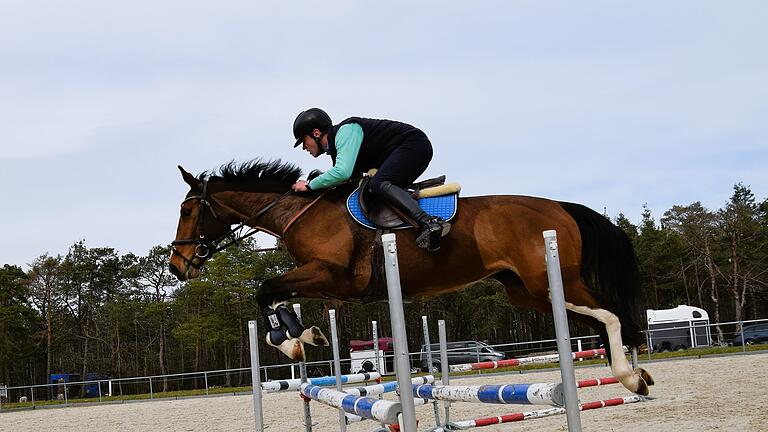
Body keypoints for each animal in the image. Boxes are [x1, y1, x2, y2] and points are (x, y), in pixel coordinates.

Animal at [168, 159, 656, 394]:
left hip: (550, 282)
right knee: (600, 318)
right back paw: (636, 374)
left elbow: (264, 288)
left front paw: (290, 341)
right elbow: (274, 293)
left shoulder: (335, 276)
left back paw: (630, 377)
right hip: (529, 293)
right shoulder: (331, 283)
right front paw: (304, 335)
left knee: (612, 315)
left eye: (188, 210)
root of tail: (560, 206)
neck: (298, 211)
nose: (176, 264)